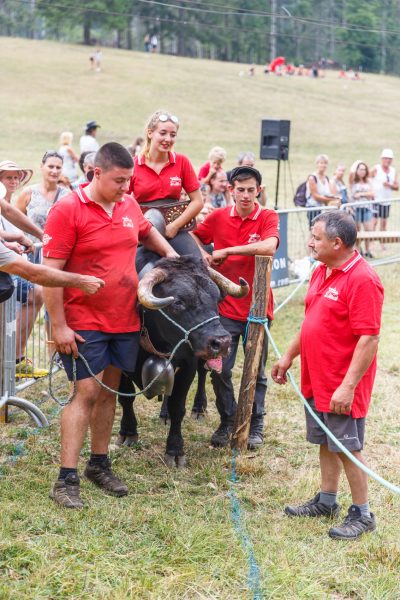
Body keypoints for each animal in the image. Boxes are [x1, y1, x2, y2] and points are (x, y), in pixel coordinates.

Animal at [116, 253, 247, 468]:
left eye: (217, 298)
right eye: (178, 302)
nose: (222, 342)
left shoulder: (188, 365)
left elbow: (178, 407)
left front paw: (175, 450)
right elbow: (126, 398)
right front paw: (128, 432)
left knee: (203, 374)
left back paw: (198, 408)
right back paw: (164, 414)